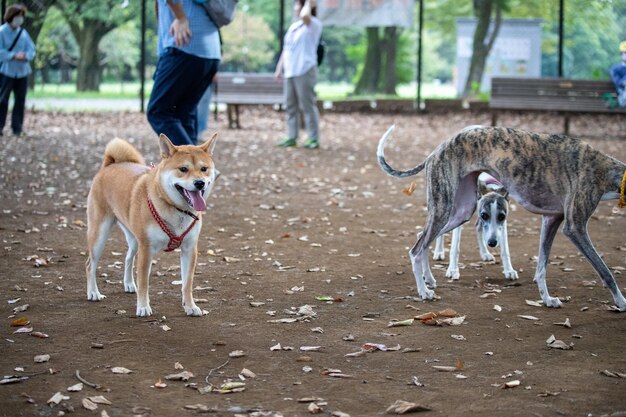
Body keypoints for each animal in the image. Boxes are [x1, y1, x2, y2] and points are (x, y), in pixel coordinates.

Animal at [85, 133, 217, 316]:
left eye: (204, 169)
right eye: (183, 169)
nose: (200, 183)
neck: (177, 210)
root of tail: (110, 164)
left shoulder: (189, 248)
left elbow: (187, 283)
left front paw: (190, 306)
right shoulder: (146, 249)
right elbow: (144, 282)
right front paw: (142, 307)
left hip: (134, 240)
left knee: (128, 257)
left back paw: (128, 284)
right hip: (100, 234)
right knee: (90, 264)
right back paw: (93, 292)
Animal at [376, 123, 624, 308]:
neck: (605, 169)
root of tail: (435, 151)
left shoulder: (551, 219)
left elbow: (541, 267)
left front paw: (547, 299)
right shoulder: (574, 227)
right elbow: (604, 270)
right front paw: (621, 302)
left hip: (461, 211)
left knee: (422, 238)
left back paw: (429, 279)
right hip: (444, 207)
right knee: (416, 250)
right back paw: (424, 291)